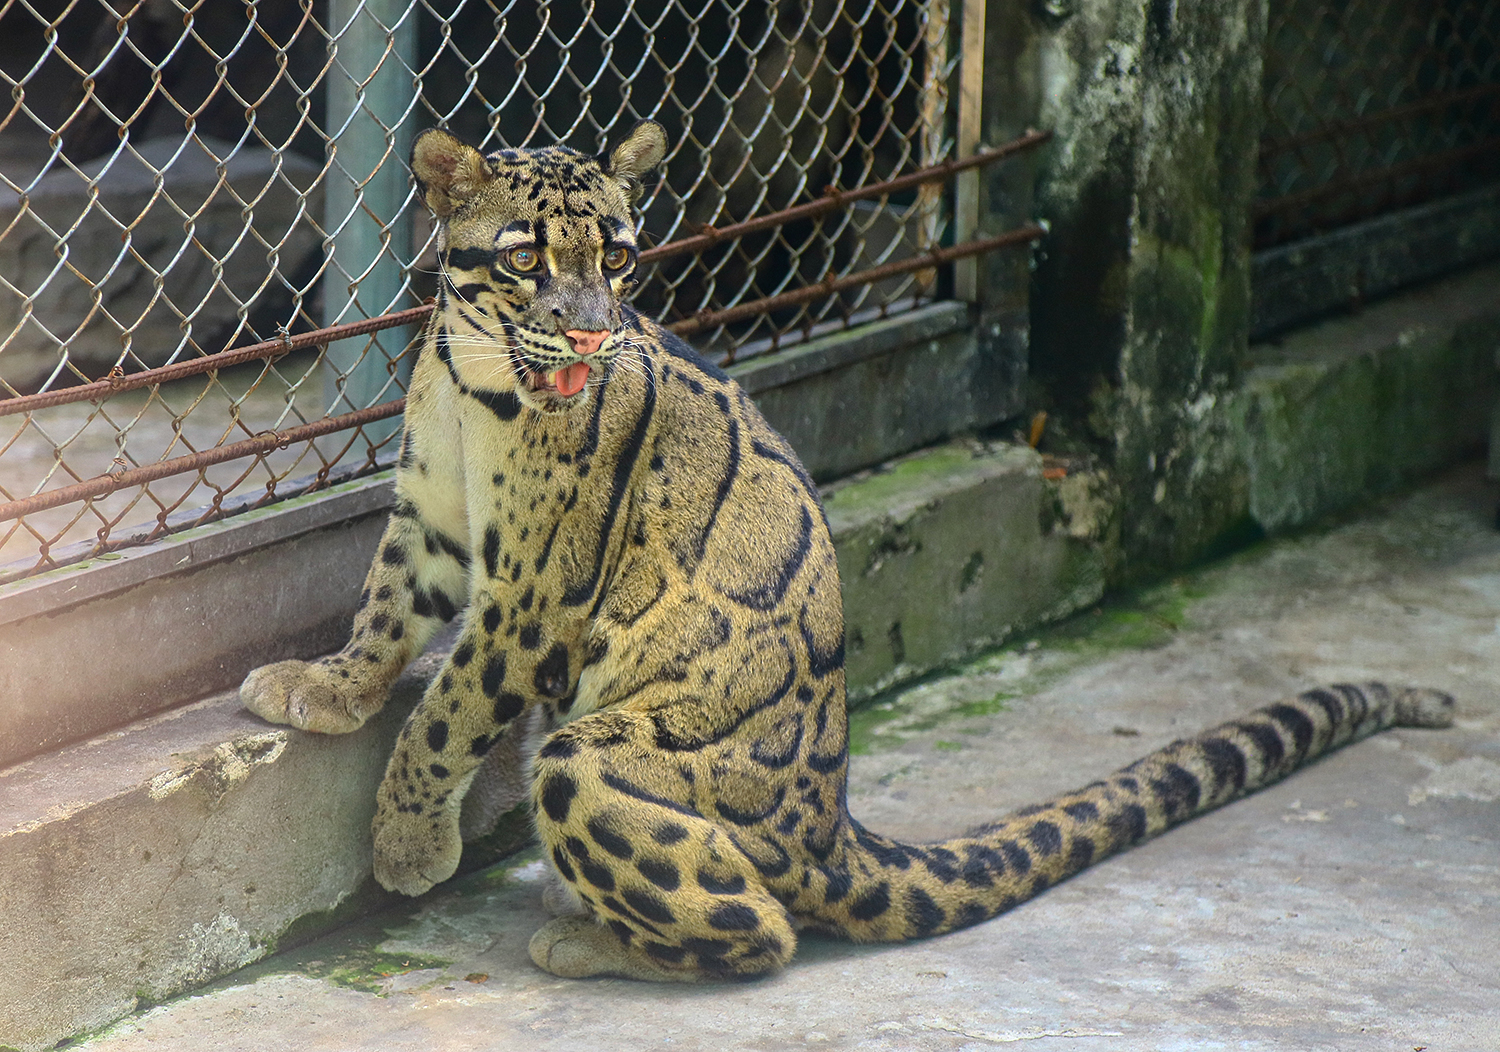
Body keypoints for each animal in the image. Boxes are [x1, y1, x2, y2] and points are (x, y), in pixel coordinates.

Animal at [241, 119, 1456, 983]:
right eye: (527, 258)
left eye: (620, 256)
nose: (589, 327)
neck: (474, 375)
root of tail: (829, 826)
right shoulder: (431, 519)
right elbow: (382, 610)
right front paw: (322, 685)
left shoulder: (535, 591)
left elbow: (446, 711)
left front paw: (405, 844)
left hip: (596, 756)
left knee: (761, 930)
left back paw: (594, 941)